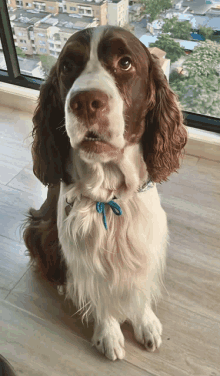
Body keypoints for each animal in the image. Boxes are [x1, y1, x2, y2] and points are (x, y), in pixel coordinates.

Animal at [22, 25, 187, 362]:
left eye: (125, 63)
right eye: (67, 67)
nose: (85, 102)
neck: (109, 197)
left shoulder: (145, 241)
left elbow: (139, 286)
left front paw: (146, 323)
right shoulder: (83, 254)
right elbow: (98, 295)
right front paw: (109, 334)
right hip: (37, 228)